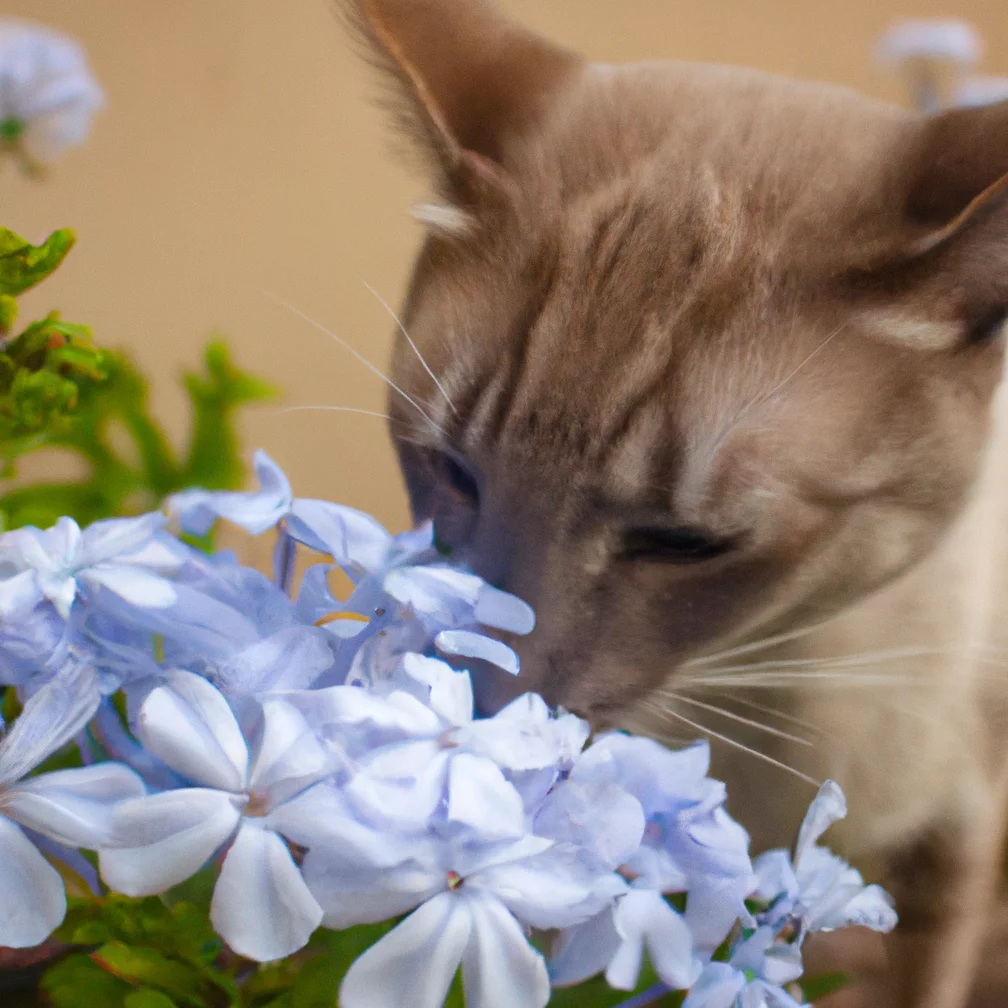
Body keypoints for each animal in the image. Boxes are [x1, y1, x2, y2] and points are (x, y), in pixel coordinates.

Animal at [338, 3, 1008, 1003]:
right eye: (454, 474)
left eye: (684, 543)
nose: (495, 699)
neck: (766, 680)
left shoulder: (954, 848)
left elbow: (925, 975)